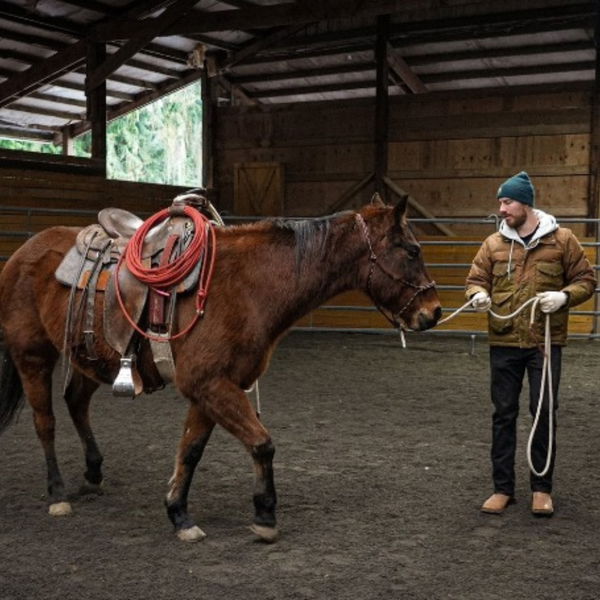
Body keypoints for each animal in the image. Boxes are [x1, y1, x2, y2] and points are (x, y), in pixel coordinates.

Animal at [0, 197, 440, 544]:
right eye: (412, 250)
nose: (433, 312)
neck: (247, 285)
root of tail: (23, 253)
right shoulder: (210, 385)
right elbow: (261, 443)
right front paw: (265, 514)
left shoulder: (211, 389)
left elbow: (191, 451)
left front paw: (179, 513)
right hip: (32, 356)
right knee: (45, 422)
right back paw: (57, 494)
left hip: (88, 358)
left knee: (75, 403)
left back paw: (92, 473)